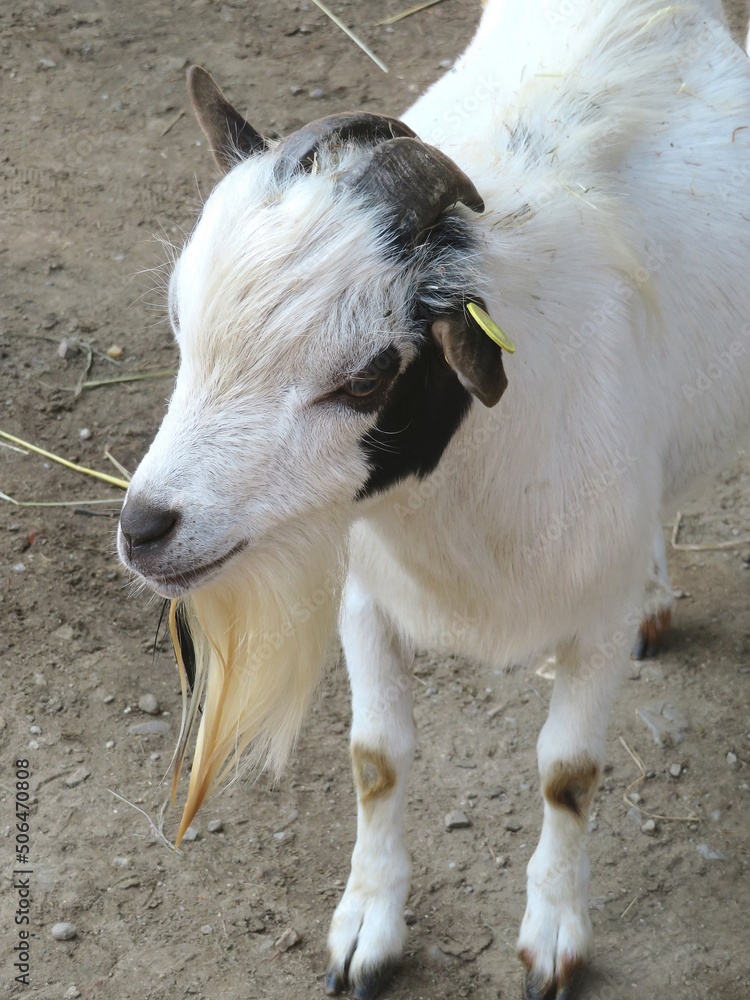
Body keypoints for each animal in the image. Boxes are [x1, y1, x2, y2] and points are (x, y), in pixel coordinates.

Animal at [117, 1, 750, 996]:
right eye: (182, 326)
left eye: (369, 375)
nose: (144, 527)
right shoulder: (366, 592)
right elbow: (376, 758)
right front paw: (365, 929)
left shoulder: (594, 617)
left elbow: (569, 772)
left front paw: (554, 935)